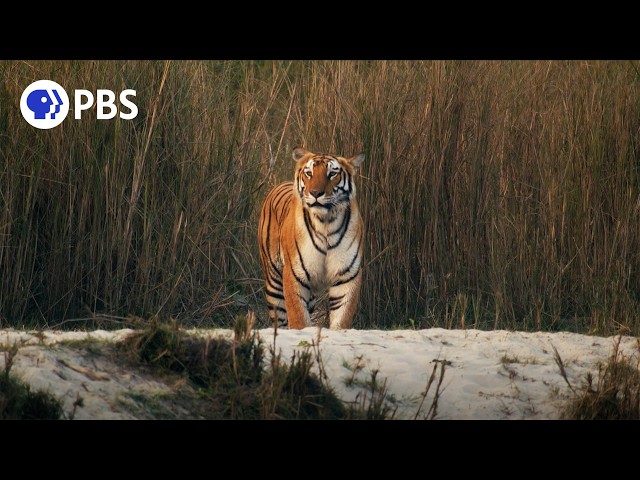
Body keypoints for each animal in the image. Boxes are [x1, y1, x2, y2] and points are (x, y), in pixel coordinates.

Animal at [258, 146, 365, 330]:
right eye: (309, 173)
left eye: (332, 174)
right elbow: (298, 318)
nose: (315, 193)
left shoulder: (346, 276)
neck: (326, 222)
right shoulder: (295, 274)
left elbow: (341, 320)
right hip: (274, 282)